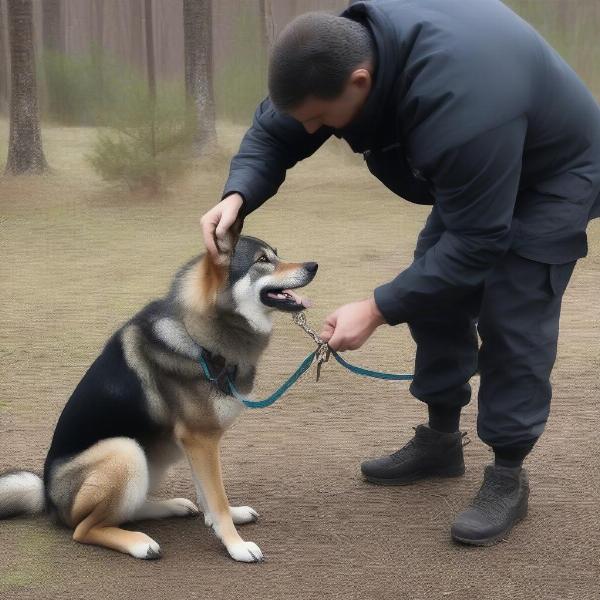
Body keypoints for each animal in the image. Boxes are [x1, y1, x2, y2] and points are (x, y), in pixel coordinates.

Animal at [0, 221, 318, 564]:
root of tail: (47, 495)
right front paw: (235, 545)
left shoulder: (197, 443)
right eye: (262, 260)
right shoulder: (200, 439)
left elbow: (209, 495)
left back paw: (171, 506)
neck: (198, 335)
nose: (313, 266)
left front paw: (225, 519)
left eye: (277, 254)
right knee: (85, 529)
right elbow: (216, 498)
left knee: (127, 511)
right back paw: (139, 543)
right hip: (125, 451)